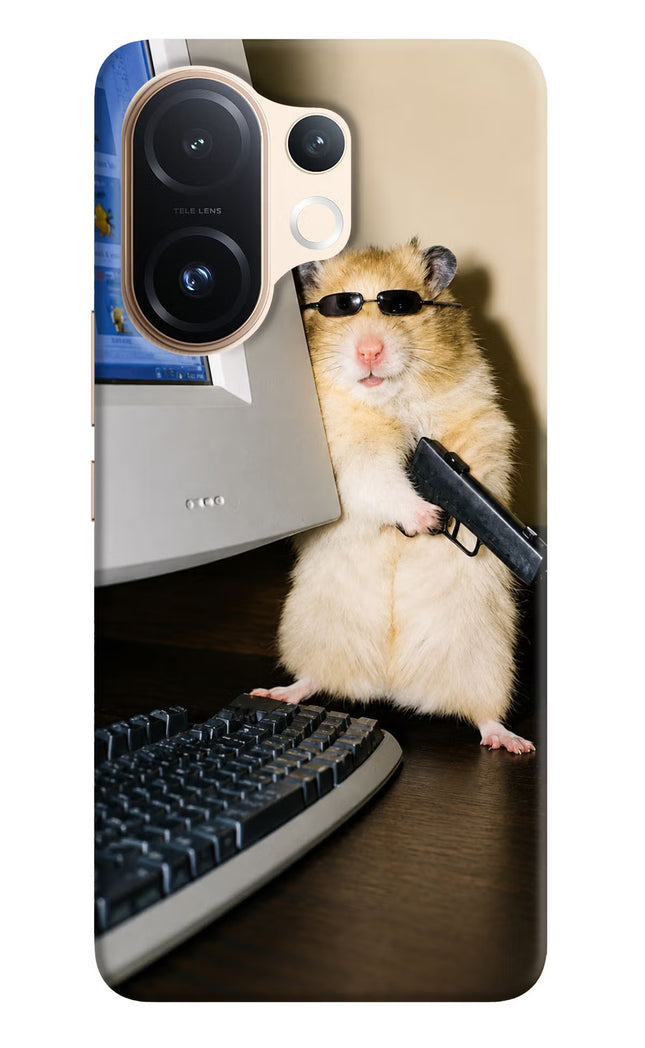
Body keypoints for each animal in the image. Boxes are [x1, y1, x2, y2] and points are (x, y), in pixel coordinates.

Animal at [252, 239, 534, 754]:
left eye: (400, 306)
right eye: (339, 308)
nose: (369, 350)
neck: (389, 400)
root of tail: (393, 686)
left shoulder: (481, 423)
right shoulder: (348, 456)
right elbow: (380, 481)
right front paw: (428, 518)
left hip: (488, 660)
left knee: (484, 714)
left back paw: (512, 742)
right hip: (311, 632)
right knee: (313, 678)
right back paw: (276, 692)